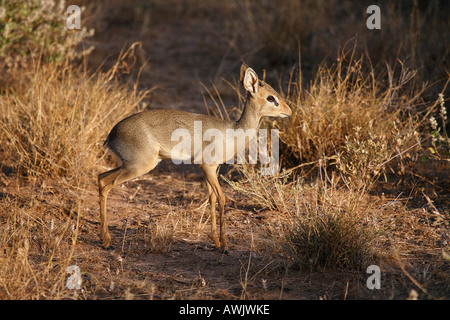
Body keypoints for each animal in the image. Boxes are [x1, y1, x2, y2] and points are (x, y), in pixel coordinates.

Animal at [97, 63, 292, 252]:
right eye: (270, 98)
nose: (289, 111)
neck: (232, 132)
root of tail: (112, 134)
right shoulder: (207, 167)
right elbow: (222, 198)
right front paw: (225, 246)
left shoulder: (210, 170)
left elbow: (212, 198)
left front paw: (216, 242)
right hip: (139, 166)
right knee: (106, 184)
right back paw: (107, 241)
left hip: (131, 165)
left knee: (100, 177)